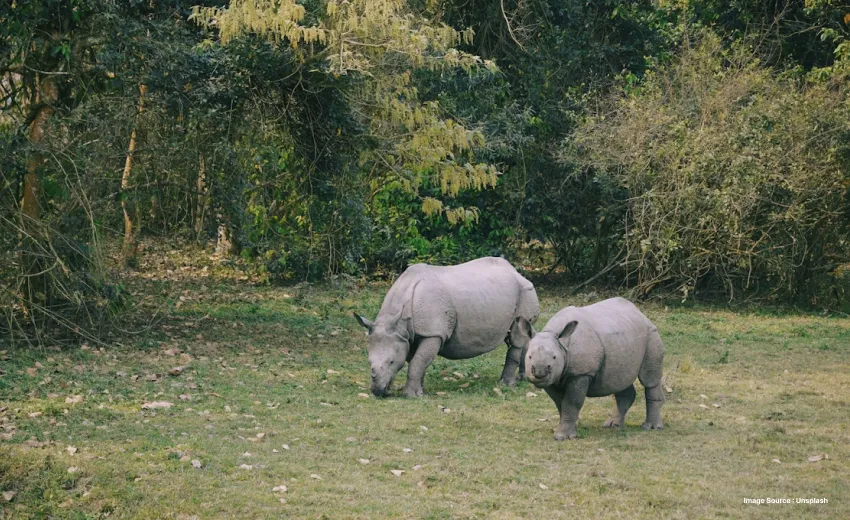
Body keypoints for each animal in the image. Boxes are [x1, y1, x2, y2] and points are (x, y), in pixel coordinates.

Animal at [354, 257, 540, 398]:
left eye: (391, 361)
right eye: (368, 361)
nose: (378, 392)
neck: (399, 322)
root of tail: (516, 272)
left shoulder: (433, 332)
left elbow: (418, 361)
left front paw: (411, 396)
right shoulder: (410, 335)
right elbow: (418, 361)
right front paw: (420, 391)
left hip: (525, 290)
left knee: (516, 336)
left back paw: (506, 385)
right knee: (523, 334)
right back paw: (524, 378)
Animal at [511, 297, 665, 440]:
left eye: (554, 357)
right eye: (529, 357)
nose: (539, 372)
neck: (562, 346)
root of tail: (640, 313)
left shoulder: (581, 374)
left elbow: (572, 402)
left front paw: (562, 436)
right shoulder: (553, 378)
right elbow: (560, 402)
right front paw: (571, 428)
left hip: (651, 333)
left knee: (650, 380)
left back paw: (651, 427)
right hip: (624, 335)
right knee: (620, 380)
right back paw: (612, 425)